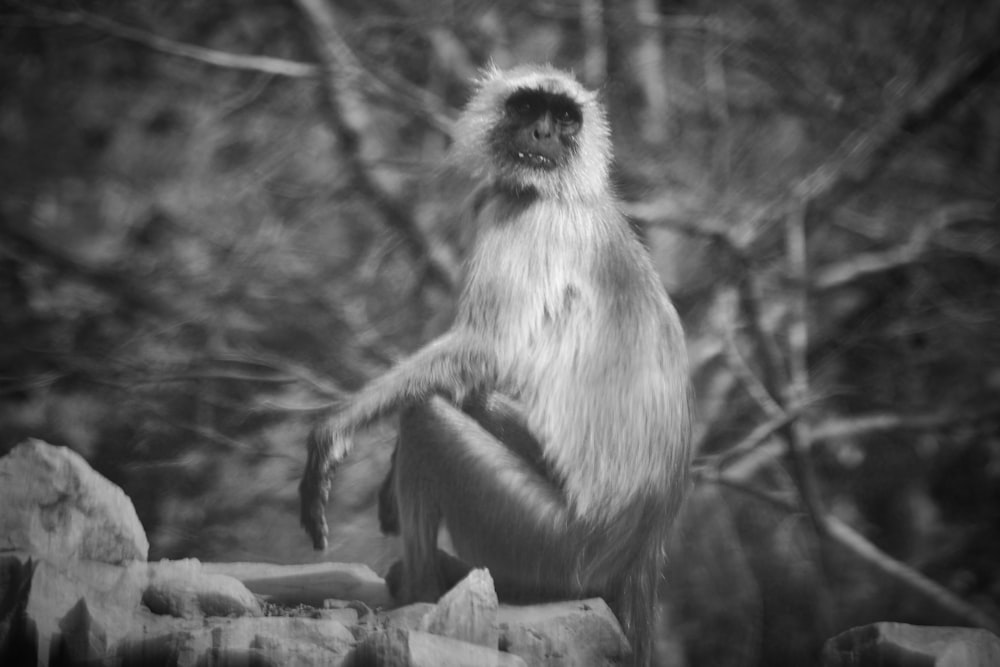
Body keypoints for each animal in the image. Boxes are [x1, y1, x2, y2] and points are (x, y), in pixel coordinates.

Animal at [300, 64, 692, 667]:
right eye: (528, 108)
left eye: (565, 118)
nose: (544, 134)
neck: (573, 194)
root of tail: (639, 548)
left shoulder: (527, 218)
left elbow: (483, 347)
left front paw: (333, 430)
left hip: (546, 541)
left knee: (429, 417)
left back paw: (420, 589)